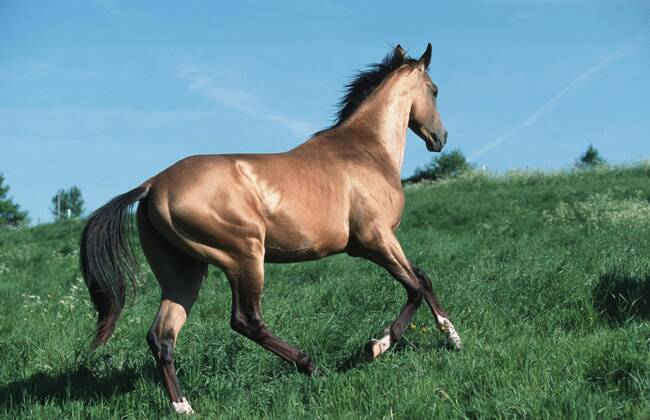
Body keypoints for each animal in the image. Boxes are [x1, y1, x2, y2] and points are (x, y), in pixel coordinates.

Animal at [80, 43, 461, 414]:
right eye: (435, 90)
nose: (440, 138)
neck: (366, 152)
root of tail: (153, 185)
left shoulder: (383, 242)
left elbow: (423, 278)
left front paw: (452, 337)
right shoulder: (374, 239)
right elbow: (414, 287)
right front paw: (376, 347)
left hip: (183, 273)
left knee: (162, 335)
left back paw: (183, 406)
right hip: (244, 257)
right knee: (245, 320)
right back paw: (312, 367)